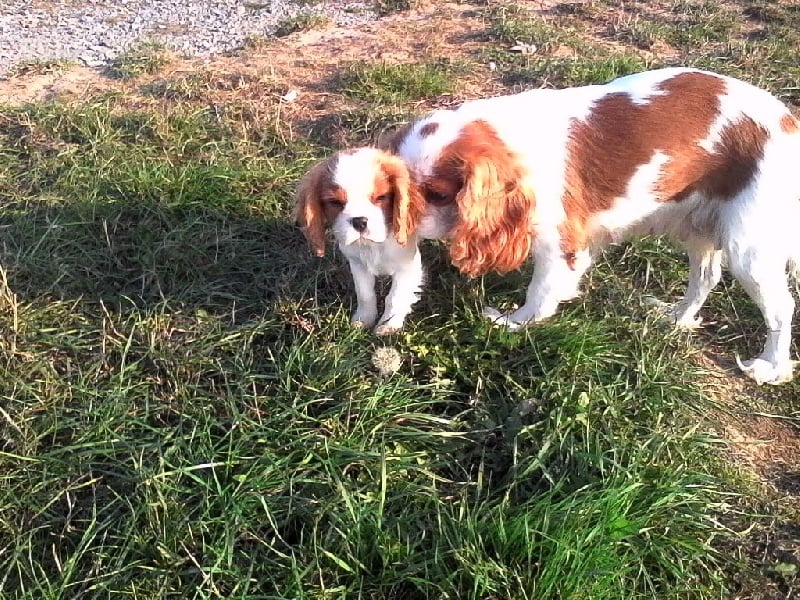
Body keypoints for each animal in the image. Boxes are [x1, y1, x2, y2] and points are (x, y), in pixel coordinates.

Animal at [294, 145, 428, 332]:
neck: (373, 245)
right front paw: (363, 320)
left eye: (380, 197)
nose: (359, 221)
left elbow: (395, 296)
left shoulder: (408, 265)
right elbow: (365, 294)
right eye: (335, 202)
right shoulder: (357, 263)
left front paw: (388, 325)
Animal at [388, 67, 800, 384]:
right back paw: (676, 318)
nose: (405, 224)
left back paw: (770, 367)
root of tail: (789, 121)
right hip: (698, 227)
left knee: (782, 307)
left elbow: (540, 293)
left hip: (748, 245)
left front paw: (511, 323)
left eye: (438, 194)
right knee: (706, 276)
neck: (512, 149)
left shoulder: (559, 241)